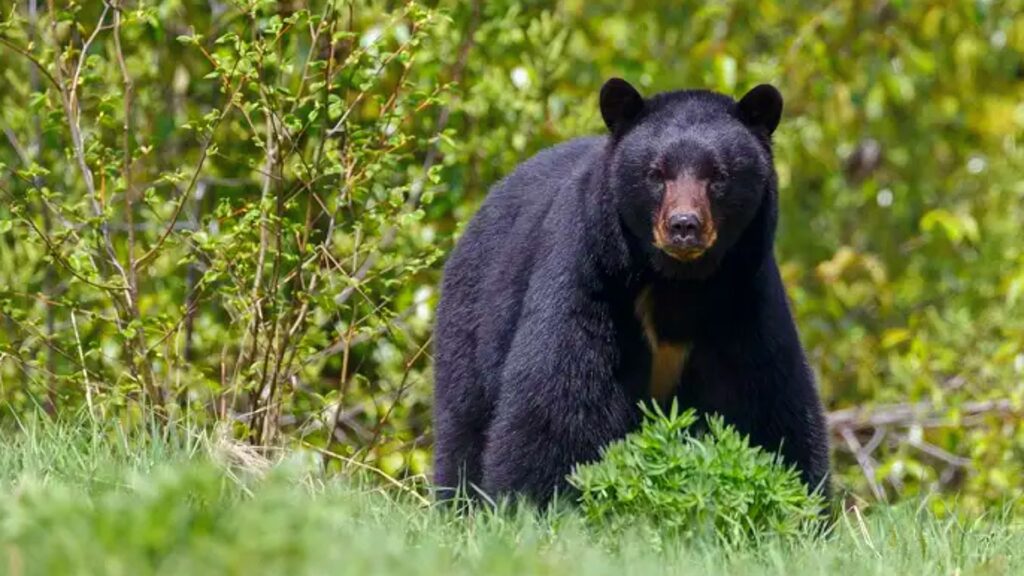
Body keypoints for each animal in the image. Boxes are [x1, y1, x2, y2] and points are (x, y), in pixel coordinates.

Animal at [432, 78, 830, 506]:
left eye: (718, 174)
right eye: (656, 173)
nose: (684, 226)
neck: (677, 282)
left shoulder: (742, 297)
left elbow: (766, 400)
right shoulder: (591, 277)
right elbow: (560, 397)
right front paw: (534, 502)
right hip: (474, 316)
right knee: (464, 420)